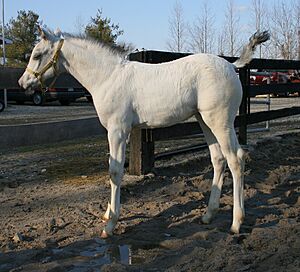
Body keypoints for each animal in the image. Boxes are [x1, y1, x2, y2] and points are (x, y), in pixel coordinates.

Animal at [19, 26, 270, 237]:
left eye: (38, 55)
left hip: (220, 122)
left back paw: (236, 223)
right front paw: (107, 214)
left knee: (236, 159)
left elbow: (115, 172)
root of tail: (232, 66)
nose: (23, 83)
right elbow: (113, 168)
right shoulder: (118, 132)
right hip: (204, 121)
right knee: (218, 159)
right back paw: (208, 215)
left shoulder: (118, 130)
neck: (107, 76)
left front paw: (111, 224)